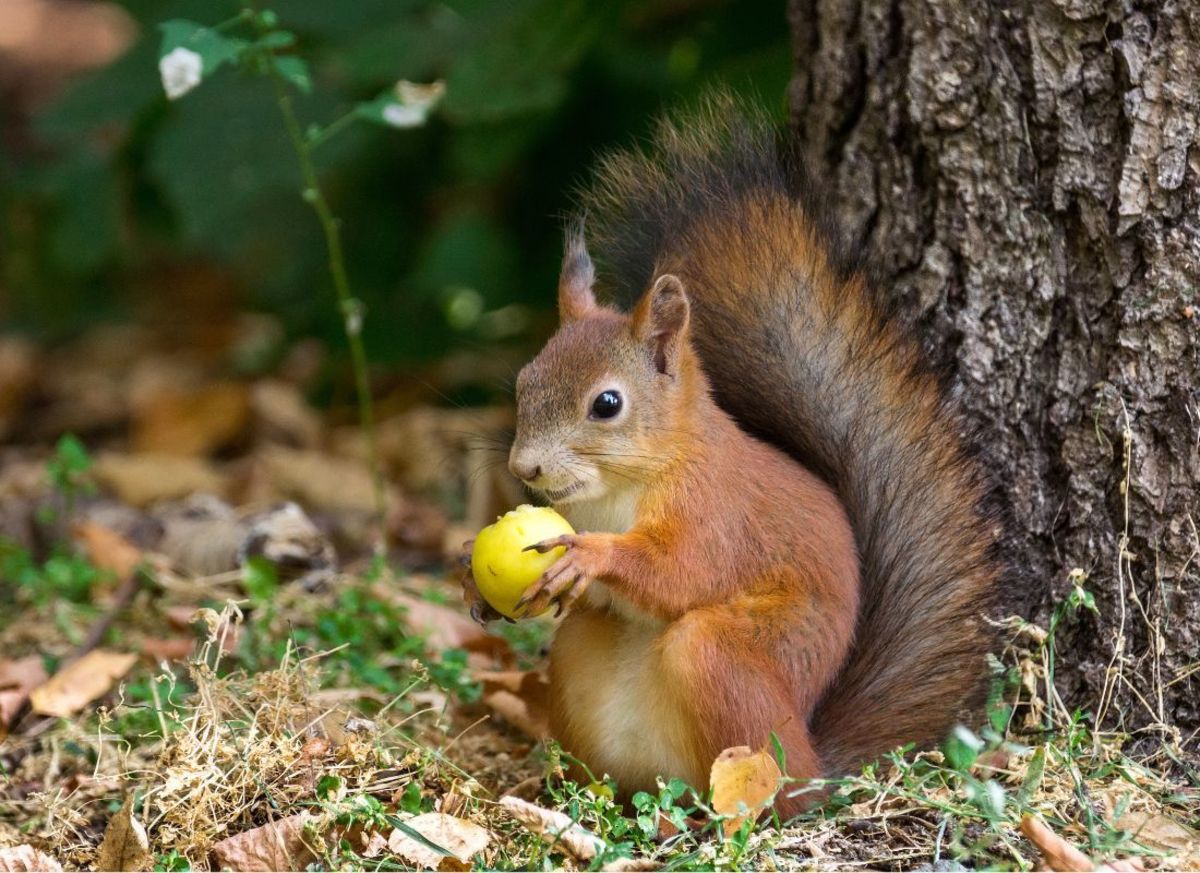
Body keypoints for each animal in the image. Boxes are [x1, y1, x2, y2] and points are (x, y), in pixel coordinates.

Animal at [463, 98, 998, 815]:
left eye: (607, 403)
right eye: (525, 380)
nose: (525, 470)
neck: (623, 486)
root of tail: (816, 766)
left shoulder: (714, 508)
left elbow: (681, 570)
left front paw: (593, 556)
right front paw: (477, 585)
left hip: (724, 662)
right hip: (585, 663)